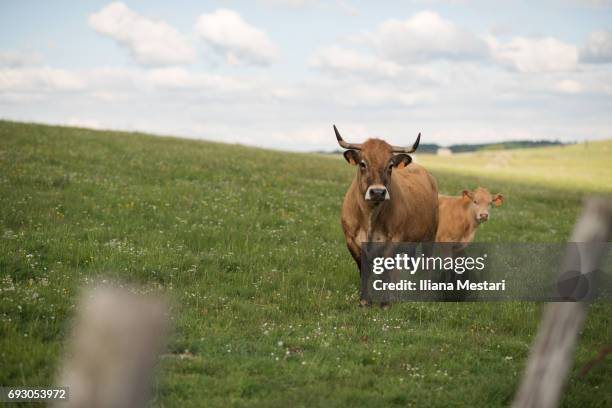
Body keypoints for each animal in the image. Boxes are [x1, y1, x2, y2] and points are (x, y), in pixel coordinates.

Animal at [334, 126, 440, 304]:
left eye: (390, 165)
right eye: (363, 163)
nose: (377, 192)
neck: (370, 217)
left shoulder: (393, 240)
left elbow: (386, 272)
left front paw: (385, 302)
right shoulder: (351, 241)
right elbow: (364, 270)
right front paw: (365, 301)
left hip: (429, 236)